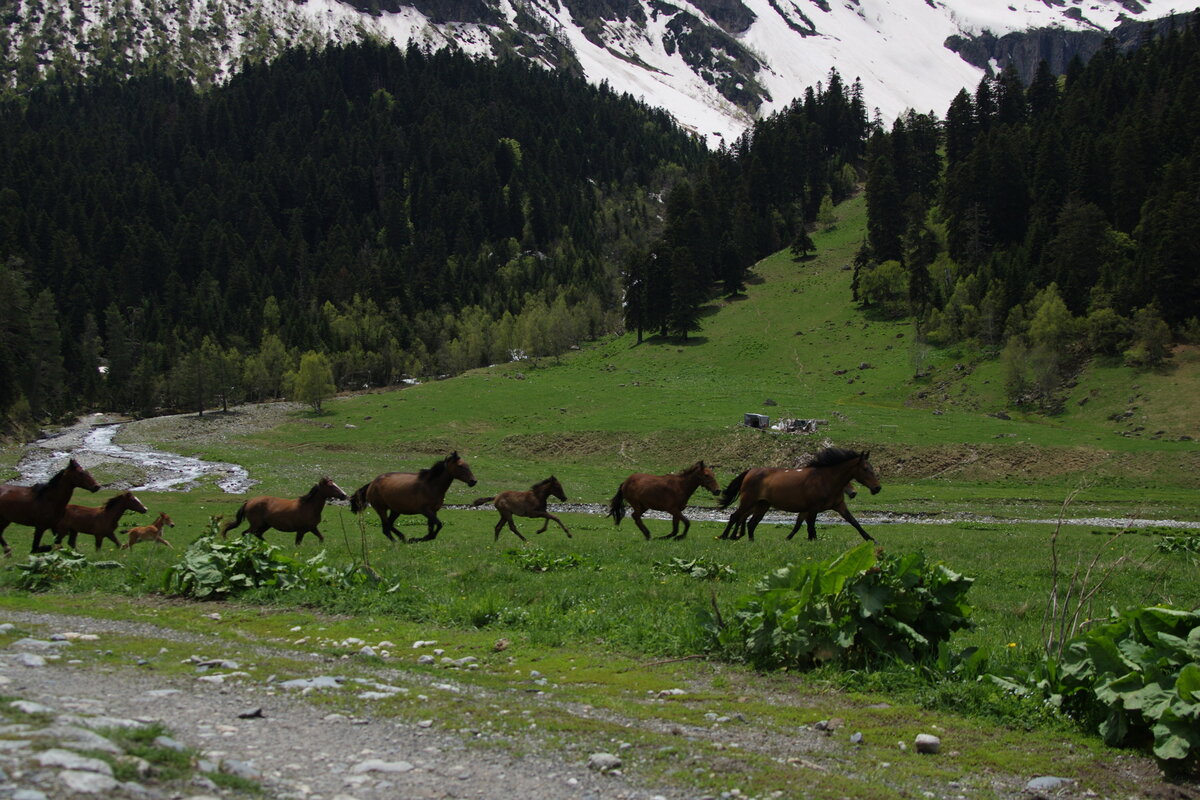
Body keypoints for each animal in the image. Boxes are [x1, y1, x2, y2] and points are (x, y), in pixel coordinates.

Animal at [220, 474, 348, 544]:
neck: (309, 507)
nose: (344, 495)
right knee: (246, 533)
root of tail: (248, 502)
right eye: (331, 486)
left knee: (257, 535)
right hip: (256, 524)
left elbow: (321, 538)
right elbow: (298, 544)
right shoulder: (301, 531)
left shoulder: (312, 528)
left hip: (265, 525)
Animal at [348, 450, 477, 544]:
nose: (473, 481)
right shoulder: (425, 510)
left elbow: (432, 528)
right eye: (460, 466)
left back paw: (403, 538)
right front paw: (417, 539)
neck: (431, 485)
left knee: (390, 525)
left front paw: (422, 538)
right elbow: (439, 525)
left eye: (468, 465)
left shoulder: (433, 511)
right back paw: (397, 543)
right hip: (381, 509)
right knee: (386, 528)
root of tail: (372, 483)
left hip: (395, 510)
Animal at [710, 450, 883, 544]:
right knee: (735, 516)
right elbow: (810, 527)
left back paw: (750, 541)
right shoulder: (812, 508)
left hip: (762, 505)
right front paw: (812, 541)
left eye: (872, 468)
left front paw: (871, 539)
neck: (826, 479)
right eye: (865, 469)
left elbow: (854, 522)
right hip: (748, 502)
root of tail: (750, 471)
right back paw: (725, 536)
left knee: (751, 523)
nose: (877, 488)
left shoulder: (839, 506)